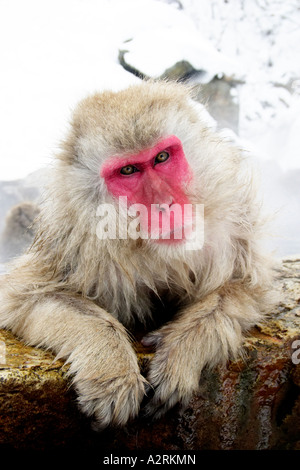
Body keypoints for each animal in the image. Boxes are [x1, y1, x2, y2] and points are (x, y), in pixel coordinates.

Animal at [0, 80, 274, 430]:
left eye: (162, 157)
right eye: (128, 170)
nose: (165, 205)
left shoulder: (233, 225)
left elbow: (243, 286)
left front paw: (182, 350)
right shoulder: (72, 243)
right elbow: (25, 298)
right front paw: (112, 369)